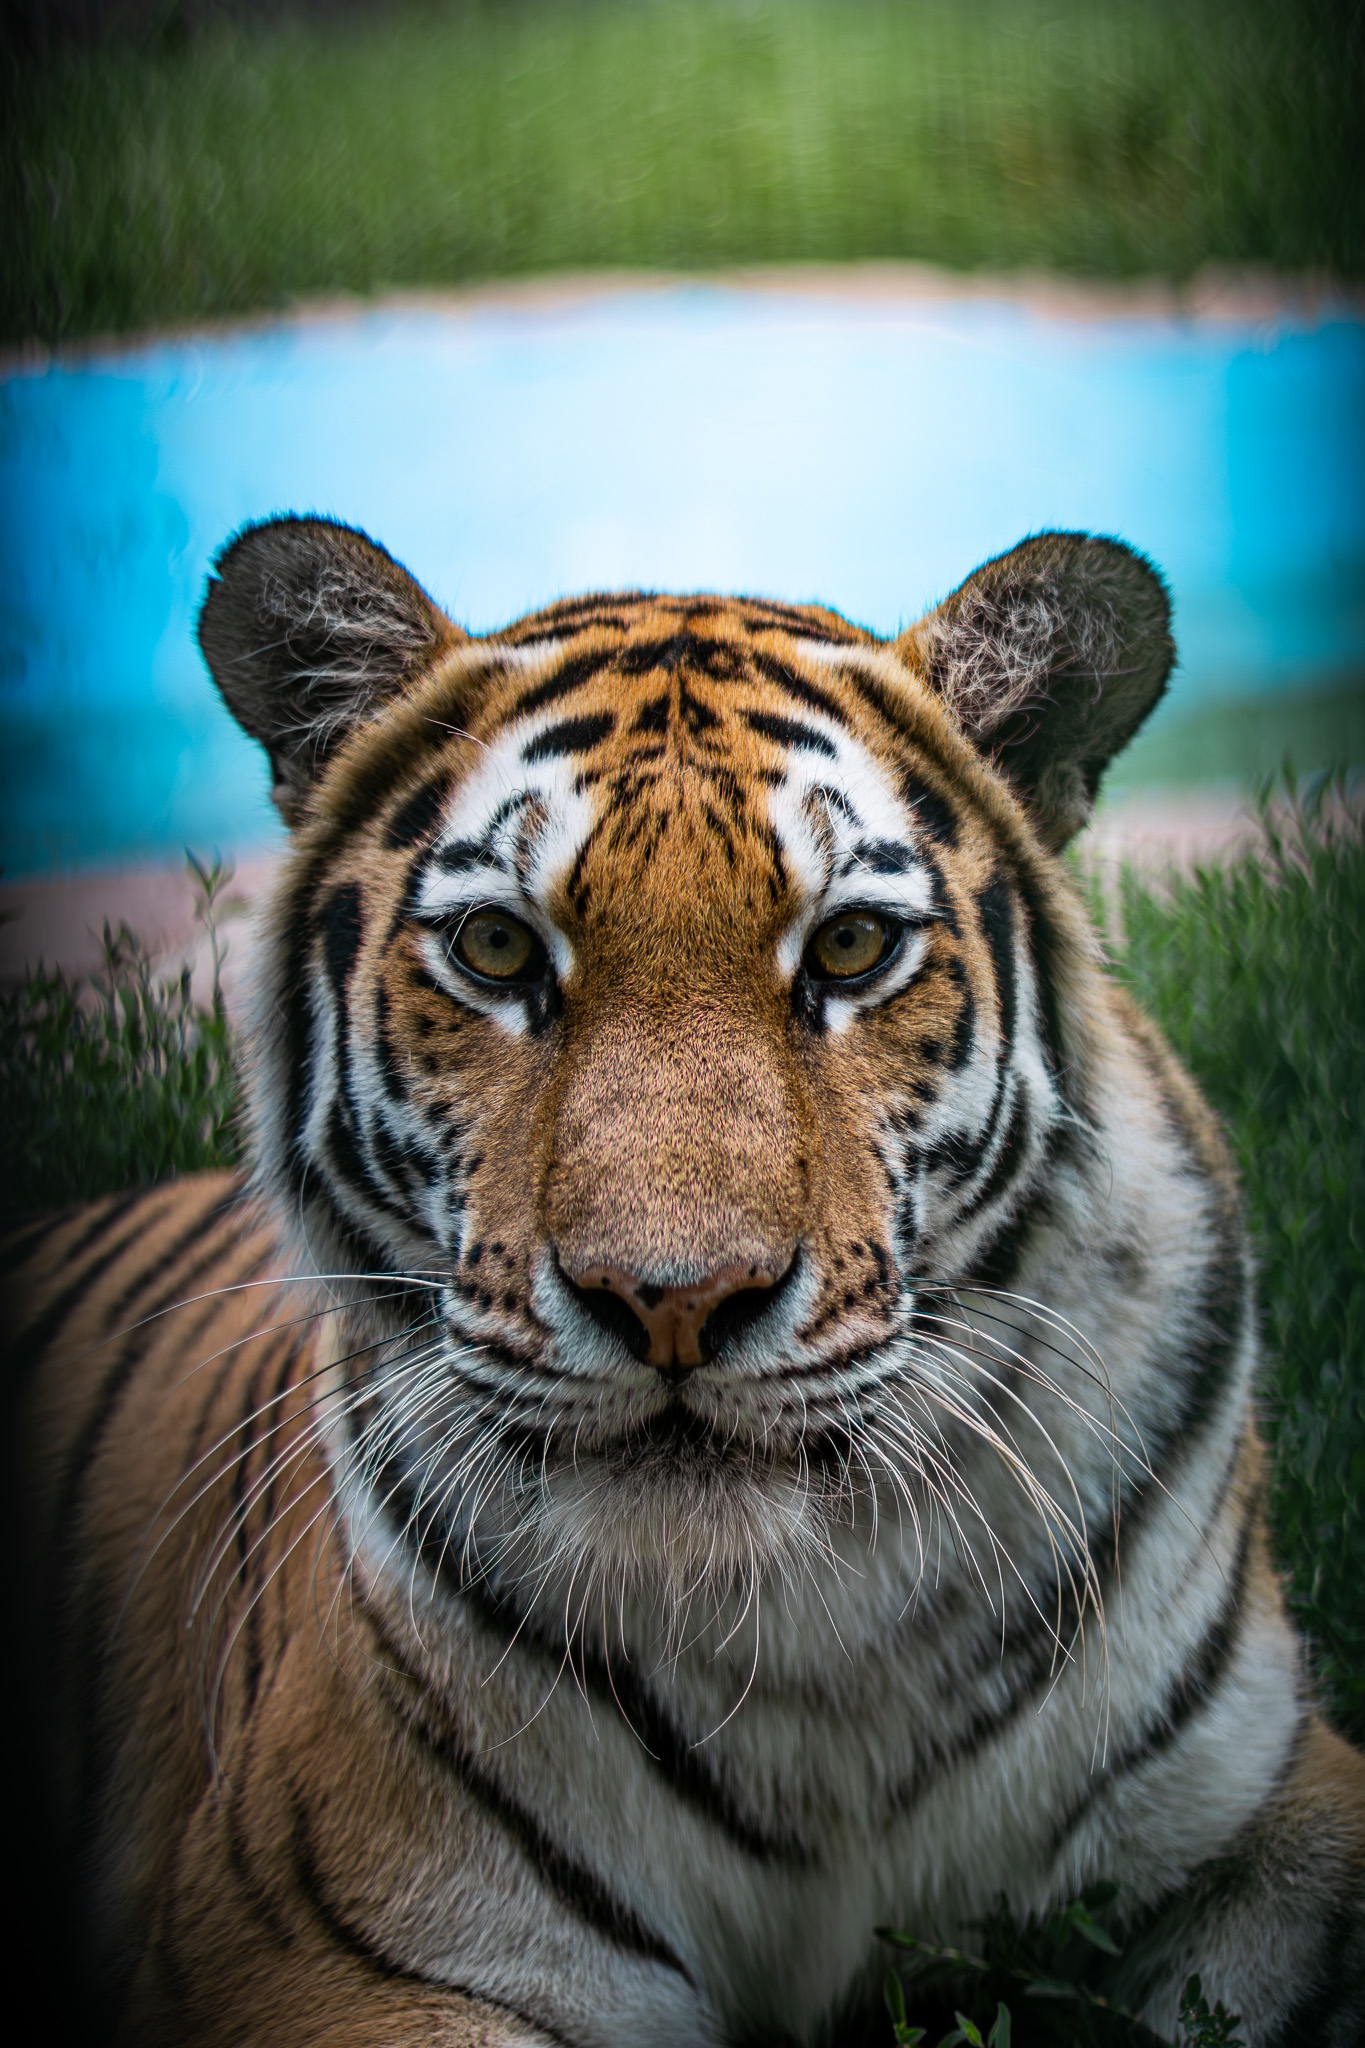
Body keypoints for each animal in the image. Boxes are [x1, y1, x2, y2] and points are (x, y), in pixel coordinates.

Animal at [6, 517, 1365, 2048]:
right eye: (495, 949)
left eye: (848, 945)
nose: (672, 1299)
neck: (805, 1650)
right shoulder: (333, 1945)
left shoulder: (1273, 1804)